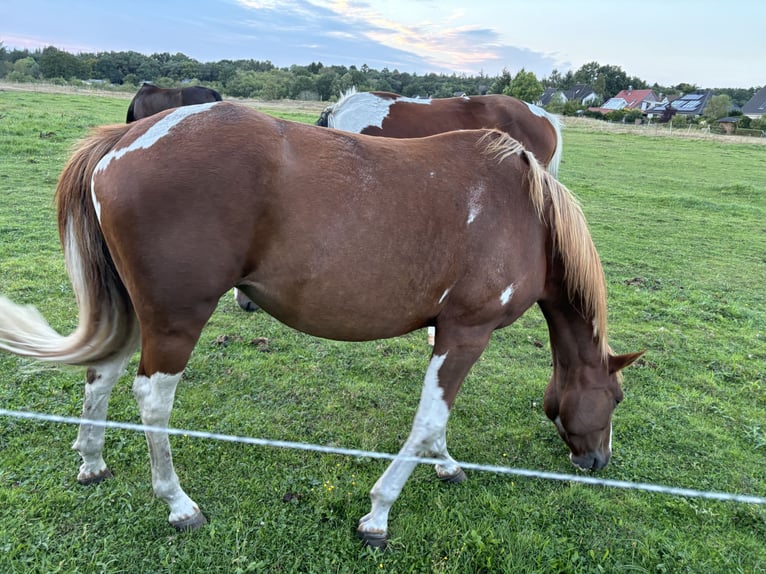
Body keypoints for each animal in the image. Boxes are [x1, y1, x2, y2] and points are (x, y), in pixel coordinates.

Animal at [0, 102, 644, 548]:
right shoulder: (467, 332)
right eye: (614, 398)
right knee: (150, 401)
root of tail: (126, 138)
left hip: (136, 310)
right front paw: (378, 514)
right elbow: (429, 417)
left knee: (101, 375)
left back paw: (91, 462)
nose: (598, 463)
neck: (524, 213)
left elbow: (435, 419)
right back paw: (178, 504)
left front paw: (445, 464)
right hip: (175, 320)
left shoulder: (444, 334)